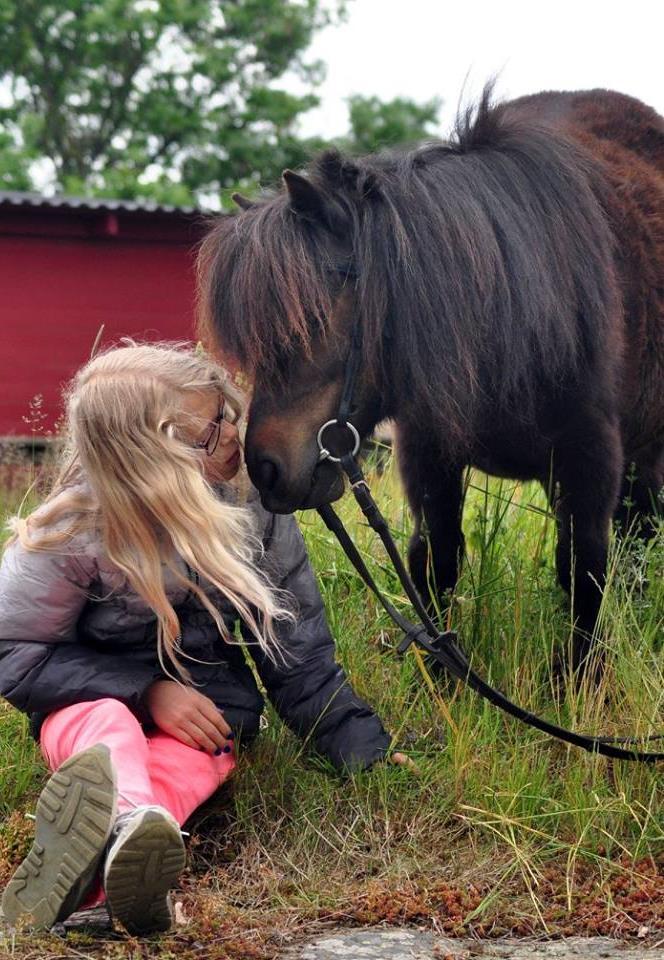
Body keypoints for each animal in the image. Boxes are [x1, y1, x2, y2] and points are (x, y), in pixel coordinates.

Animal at [200, 90, 664, 672]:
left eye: (311, 319)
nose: (266, 469)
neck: (510, 305)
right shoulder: (429, 453)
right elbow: (436, 560)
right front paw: (444, 676)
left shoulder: (590, 460)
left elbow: (584, 570)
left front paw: (579, 679)